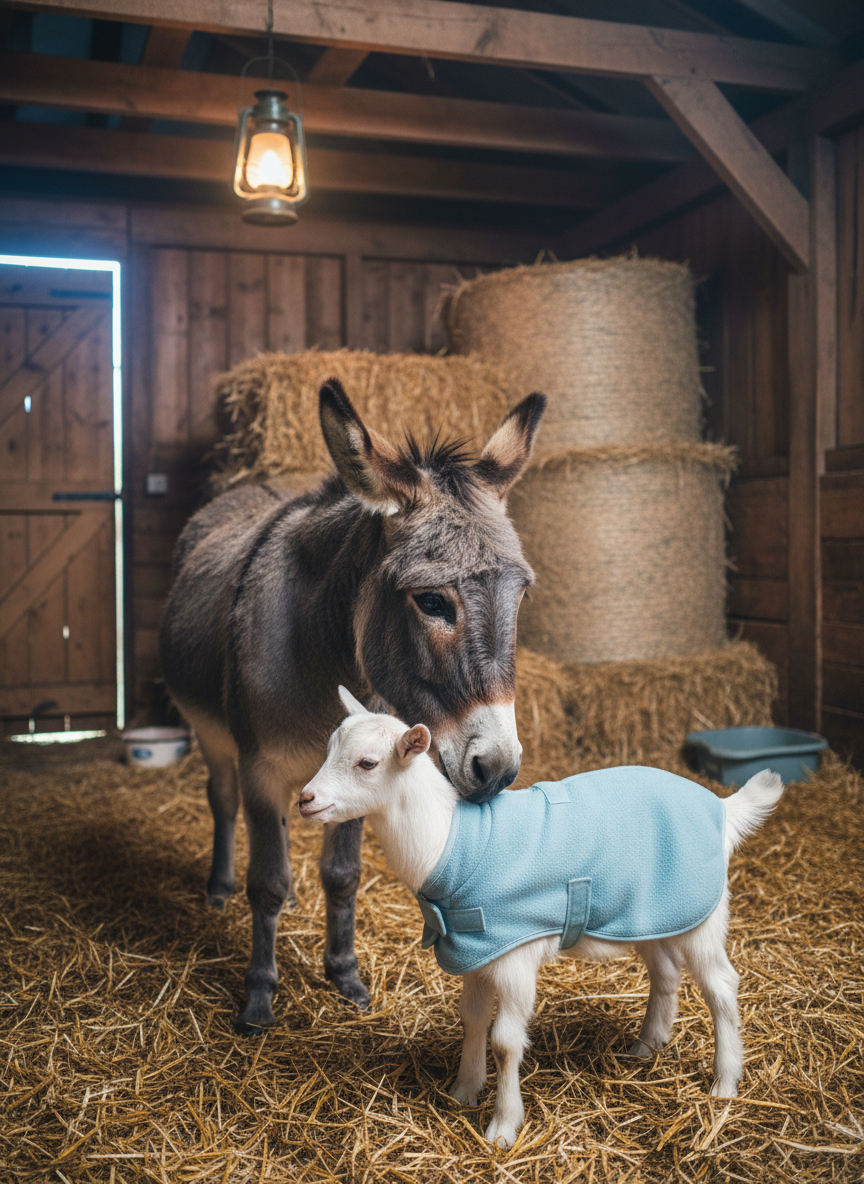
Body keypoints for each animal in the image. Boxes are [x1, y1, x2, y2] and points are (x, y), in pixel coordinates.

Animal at [299, 687, 785, 1149]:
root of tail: (723, 810)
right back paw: (646, 1047)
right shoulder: (477, 950)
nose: (306, 799)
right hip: (655, 914)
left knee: (721, 986)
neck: (450, 839)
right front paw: (463, 1090)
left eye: (367, 763)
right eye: (328, 748)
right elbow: (472, 1019)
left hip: (702, 917)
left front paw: (502, 1126)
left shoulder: (516, 955)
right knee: (666, 972)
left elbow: (504, 1042)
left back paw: (725, 1083)